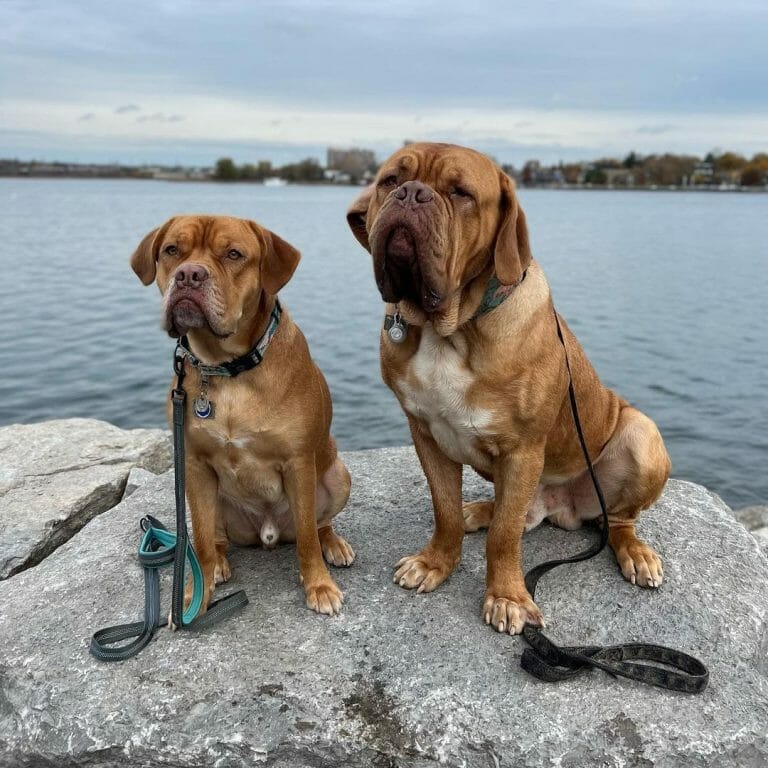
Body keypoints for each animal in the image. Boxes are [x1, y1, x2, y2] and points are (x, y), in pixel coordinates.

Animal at [131, 213, 354, 616]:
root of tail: (268, 533)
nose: (188, 275)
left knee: (317, 526)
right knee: (213, 537)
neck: (226, 368)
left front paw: (319, 585)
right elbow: (201, 539)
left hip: (337, 476)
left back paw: (333, 543)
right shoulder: (195, 466)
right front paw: (193, 595)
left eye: (233, 254)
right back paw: (218, 564)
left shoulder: (299, 463)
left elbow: (307, 540)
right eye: (172, 250)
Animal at [344, 141, 668, 632]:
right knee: (515, 512)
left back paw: (636, 553)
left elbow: (505, 535)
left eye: (460, 193)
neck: (450, 328)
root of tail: (563, 508)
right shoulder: (427, 434)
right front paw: (436, 562)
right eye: (390, 181)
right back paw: (479, 510)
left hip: (641, 435)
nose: (412, 194)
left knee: (615, 520)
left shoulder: (522, 449)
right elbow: (444, 509)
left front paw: (506, 597)